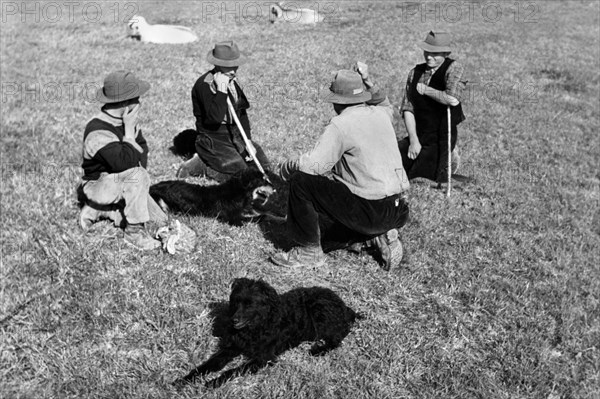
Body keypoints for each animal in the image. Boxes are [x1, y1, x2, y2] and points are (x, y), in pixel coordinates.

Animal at [173, 280, 360, 390]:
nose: (234, 320)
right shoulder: (232, 347)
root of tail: (344, 307)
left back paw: (317, 350)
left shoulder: (263, 359)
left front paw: (214, 382)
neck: (256, 328)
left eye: (250, 304)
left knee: (338, 337)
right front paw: (187, 379)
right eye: (236, 301)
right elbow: (211, 363)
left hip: (321, 314)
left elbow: (233, 370)